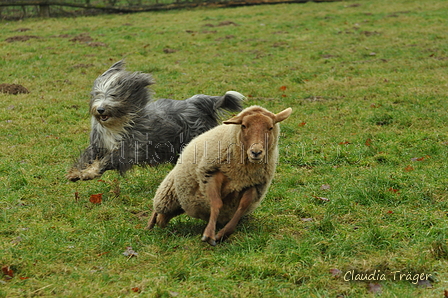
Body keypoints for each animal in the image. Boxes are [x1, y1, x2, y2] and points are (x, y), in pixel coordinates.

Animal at [67, 60, 245, 182]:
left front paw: (89, 172)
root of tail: (194, 102)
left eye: (114, 95)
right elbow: (87, 156)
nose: (100, 110)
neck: (117, 124)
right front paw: (76, 172)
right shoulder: (99, 144)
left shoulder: (131, 148)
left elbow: (108, 159)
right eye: (97, 94)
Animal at [146, 105, 294, 244]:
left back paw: (159, 223)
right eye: (243, 125)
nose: (256, 152)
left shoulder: (253, 185)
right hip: (169, 191)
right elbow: (216, 203)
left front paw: (223, 234)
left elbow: (241, 208)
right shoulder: (211, 175)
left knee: (163, 216)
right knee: (158, 206)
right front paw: (209, 235)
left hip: (180, 201)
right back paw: (149, 226)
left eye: (270, 127)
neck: (241, 174)